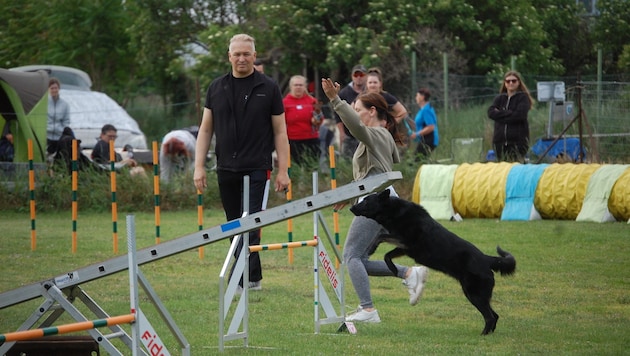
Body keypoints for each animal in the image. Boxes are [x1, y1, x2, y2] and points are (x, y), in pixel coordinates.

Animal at [350, 191, 520, 336]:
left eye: (366, 201)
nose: (351, 207)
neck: (395, 211)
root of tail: (486, 259)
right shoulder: (404, 248)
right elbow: (386, 254)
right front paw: (390, 266)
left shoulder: (406, 242)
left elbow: (382, 237)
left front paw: (375, 250)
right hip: (477, 295)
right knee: (495, 315)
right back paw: (489, 334)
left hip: (474, 294)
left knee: (490, 316)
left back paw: (483, 335)